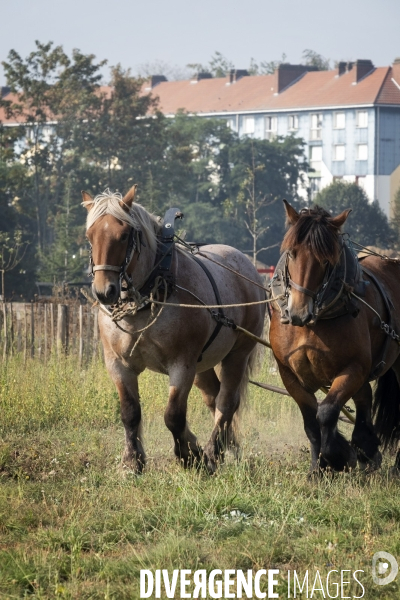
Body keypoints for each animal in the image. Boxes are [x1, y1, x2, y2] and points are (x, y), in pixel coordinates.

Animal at [81, 188, 266, 474]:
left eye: (124, 235)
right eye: (90, 236)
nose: (104, 292)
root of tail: (249, 269)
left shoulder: (182, 364)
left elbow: (173, 415)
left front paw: (189, 455)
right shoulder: (117, 364)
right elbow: (129, 412)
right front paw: (132, 461)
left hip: (237, 354)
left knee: (227, 402)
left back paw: (213, 450)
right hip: (203, 364)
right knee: (213, 396)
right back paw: (226, 446)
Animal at [268, 200, 400, 474]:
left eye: (326, 259)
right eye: (292, 253)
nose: (298, 312)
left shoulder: (354, 368)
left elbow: (327, 411)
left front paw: (339, 456)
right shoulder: (288, 373)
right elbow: (311, 422)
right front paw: (316, 471)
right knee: (364, 399)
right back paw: (367, 448)